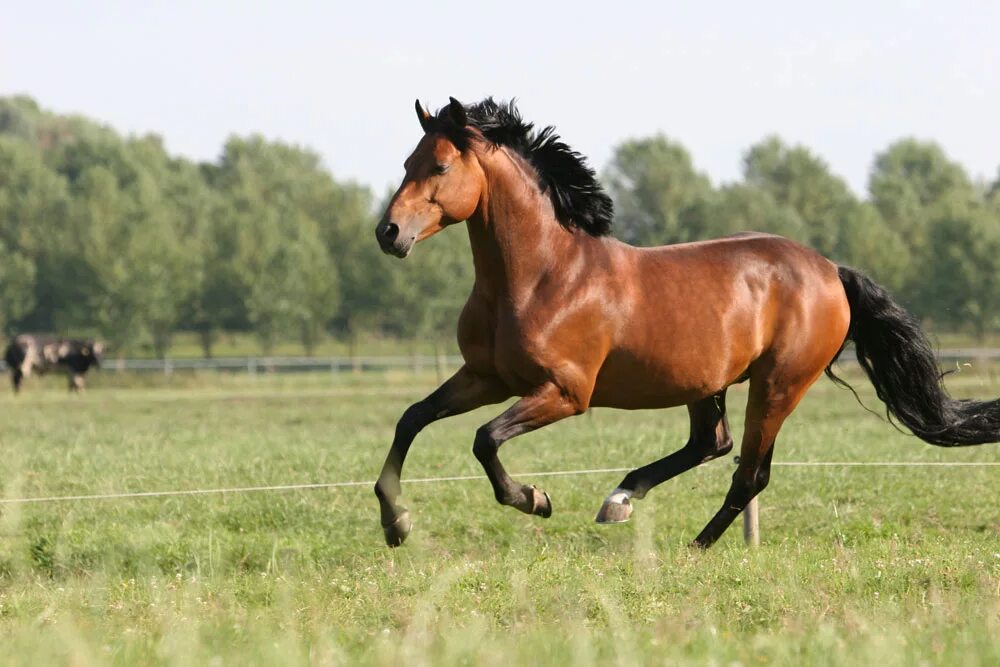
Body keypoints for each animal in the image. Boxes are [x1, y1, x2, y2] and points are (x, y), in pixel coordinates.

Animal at [372, 96, 996, 552]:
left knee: (749, 472)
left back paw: (694, 545)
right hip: (707, 383)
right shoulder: (487, 377)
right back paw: (622, 498)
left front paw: (534, 498)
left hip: (778, 384)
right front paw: (395, 524)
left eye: (440, 166)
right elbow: (411, 419)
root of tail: (830, 270)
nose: (389, 233)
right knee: (711, 444)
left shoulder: (565, 393)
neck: (541, 276)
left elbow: (484, 439)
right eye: (405, 164)